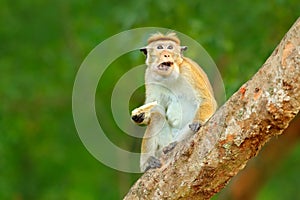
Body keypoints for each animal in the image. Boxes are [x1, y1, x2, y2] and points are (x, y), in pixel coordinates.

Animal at [130, 32, 217, 172]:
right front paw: (140, 115)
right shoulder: (149, 75)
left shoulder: (188, 70)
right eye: (160, 47)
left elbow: (206, 100)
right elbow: (155, 105)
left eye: (170, 47)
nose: (166, 54)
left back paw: (173, 145)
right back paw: (147, 162)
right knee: (157, 115)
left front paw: (198, 122)